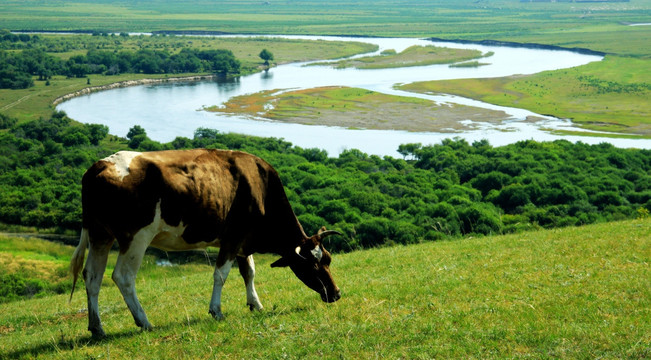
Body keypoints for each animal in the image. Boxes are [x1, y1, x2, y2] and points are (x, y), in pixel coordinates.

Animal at [69, 148, 344, 338]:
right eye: (312, 266)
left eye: (328, 259)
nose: (336, 293)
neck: (260, 186)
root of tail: (99, 165)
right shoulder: (232, 237)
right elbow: (221, 275)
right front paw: (216, 310)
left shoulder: (243, 241)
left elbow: (249, 272)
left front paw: (255, 304)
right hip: (136, 237)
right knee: (123, 277)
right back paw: (144, 321)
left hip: (100, 235)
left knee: (92, 277)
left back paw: (97, 327)